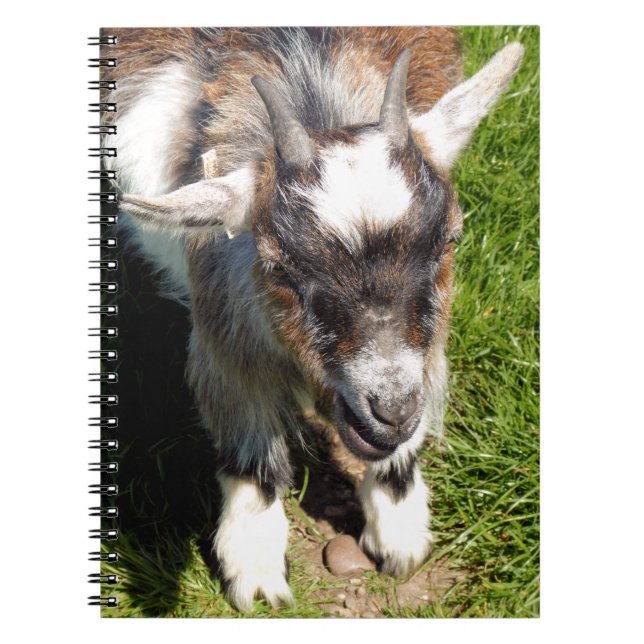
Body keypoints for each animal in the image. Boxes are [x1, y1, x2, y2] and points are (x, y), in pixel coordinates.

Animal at [103, 27, 523, 611]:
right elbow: (252, 452)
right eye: (278, 265)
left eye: (450, 240)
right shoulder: (226, 316)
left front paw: (400, 533)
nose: (392, 411)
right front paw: (254, 572)